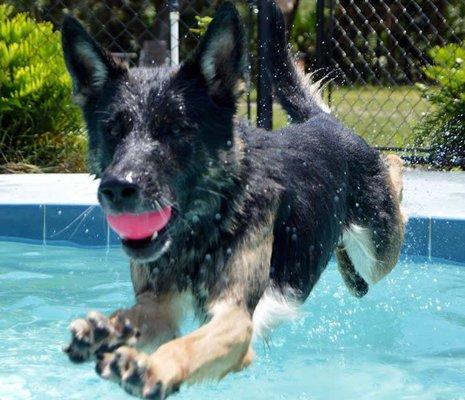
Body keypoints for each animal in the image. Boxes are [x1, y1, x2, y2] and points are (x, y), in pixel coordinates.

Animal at [60, 1, 402, 398]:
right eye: (112, 130)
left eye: (177, 130)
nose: (117, 189)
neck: (204, 227)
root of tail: (325, 123)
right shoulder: (160, 306)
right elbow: (139, 315)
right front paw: (107, 328)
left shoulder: (237, 321)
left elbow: (187, 345)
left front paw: (150, 365)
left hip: (380, 251)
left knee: (395, 174)